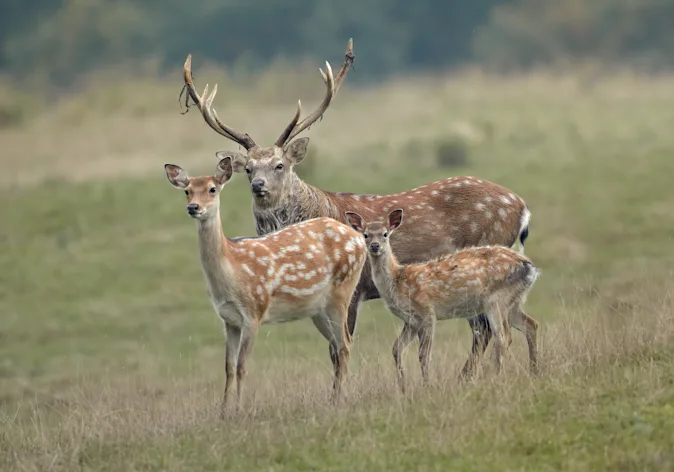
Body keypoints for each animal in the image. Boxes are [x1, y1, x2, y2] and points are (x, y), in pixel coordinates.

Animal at [164, 156, 367, 412]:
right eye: (187, 191)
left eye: (212, 189)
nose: (193, 208)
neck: (232, 273)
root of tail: (359, 239)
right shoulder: (228, 319)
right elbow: (228, 367)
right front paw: (223, 411)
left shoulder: (254, 311)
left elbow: (242, 366)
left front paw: (239, 409)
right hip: (318, 309)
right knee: (338, 345)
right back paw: (335, 398)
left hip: (343, 290)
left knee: (344, 344)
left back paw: (341, 399)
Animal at [179, 38, 533, 380]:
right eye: (249, 169)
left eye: (280, 165)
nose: (259, 186)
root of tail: (521, 207)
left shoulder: (353, 289)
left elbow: (338, 350)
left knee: (485, 330)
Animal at [344, 209, 540, 392]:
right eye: (366, 234)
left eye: (385, 234)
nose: (375, 246)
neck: (397, 281)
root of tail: (529, 267)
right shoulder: (411, 321)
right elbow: (396, 349)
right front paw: (403, 387)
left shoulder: (426, 312)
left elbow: (423, 354)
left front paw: (427, 386)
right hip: (512, 301)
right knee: (531, 324)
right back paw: (534, 371)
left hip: (496, 299)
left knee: (504, 336)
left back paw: (496, 377)